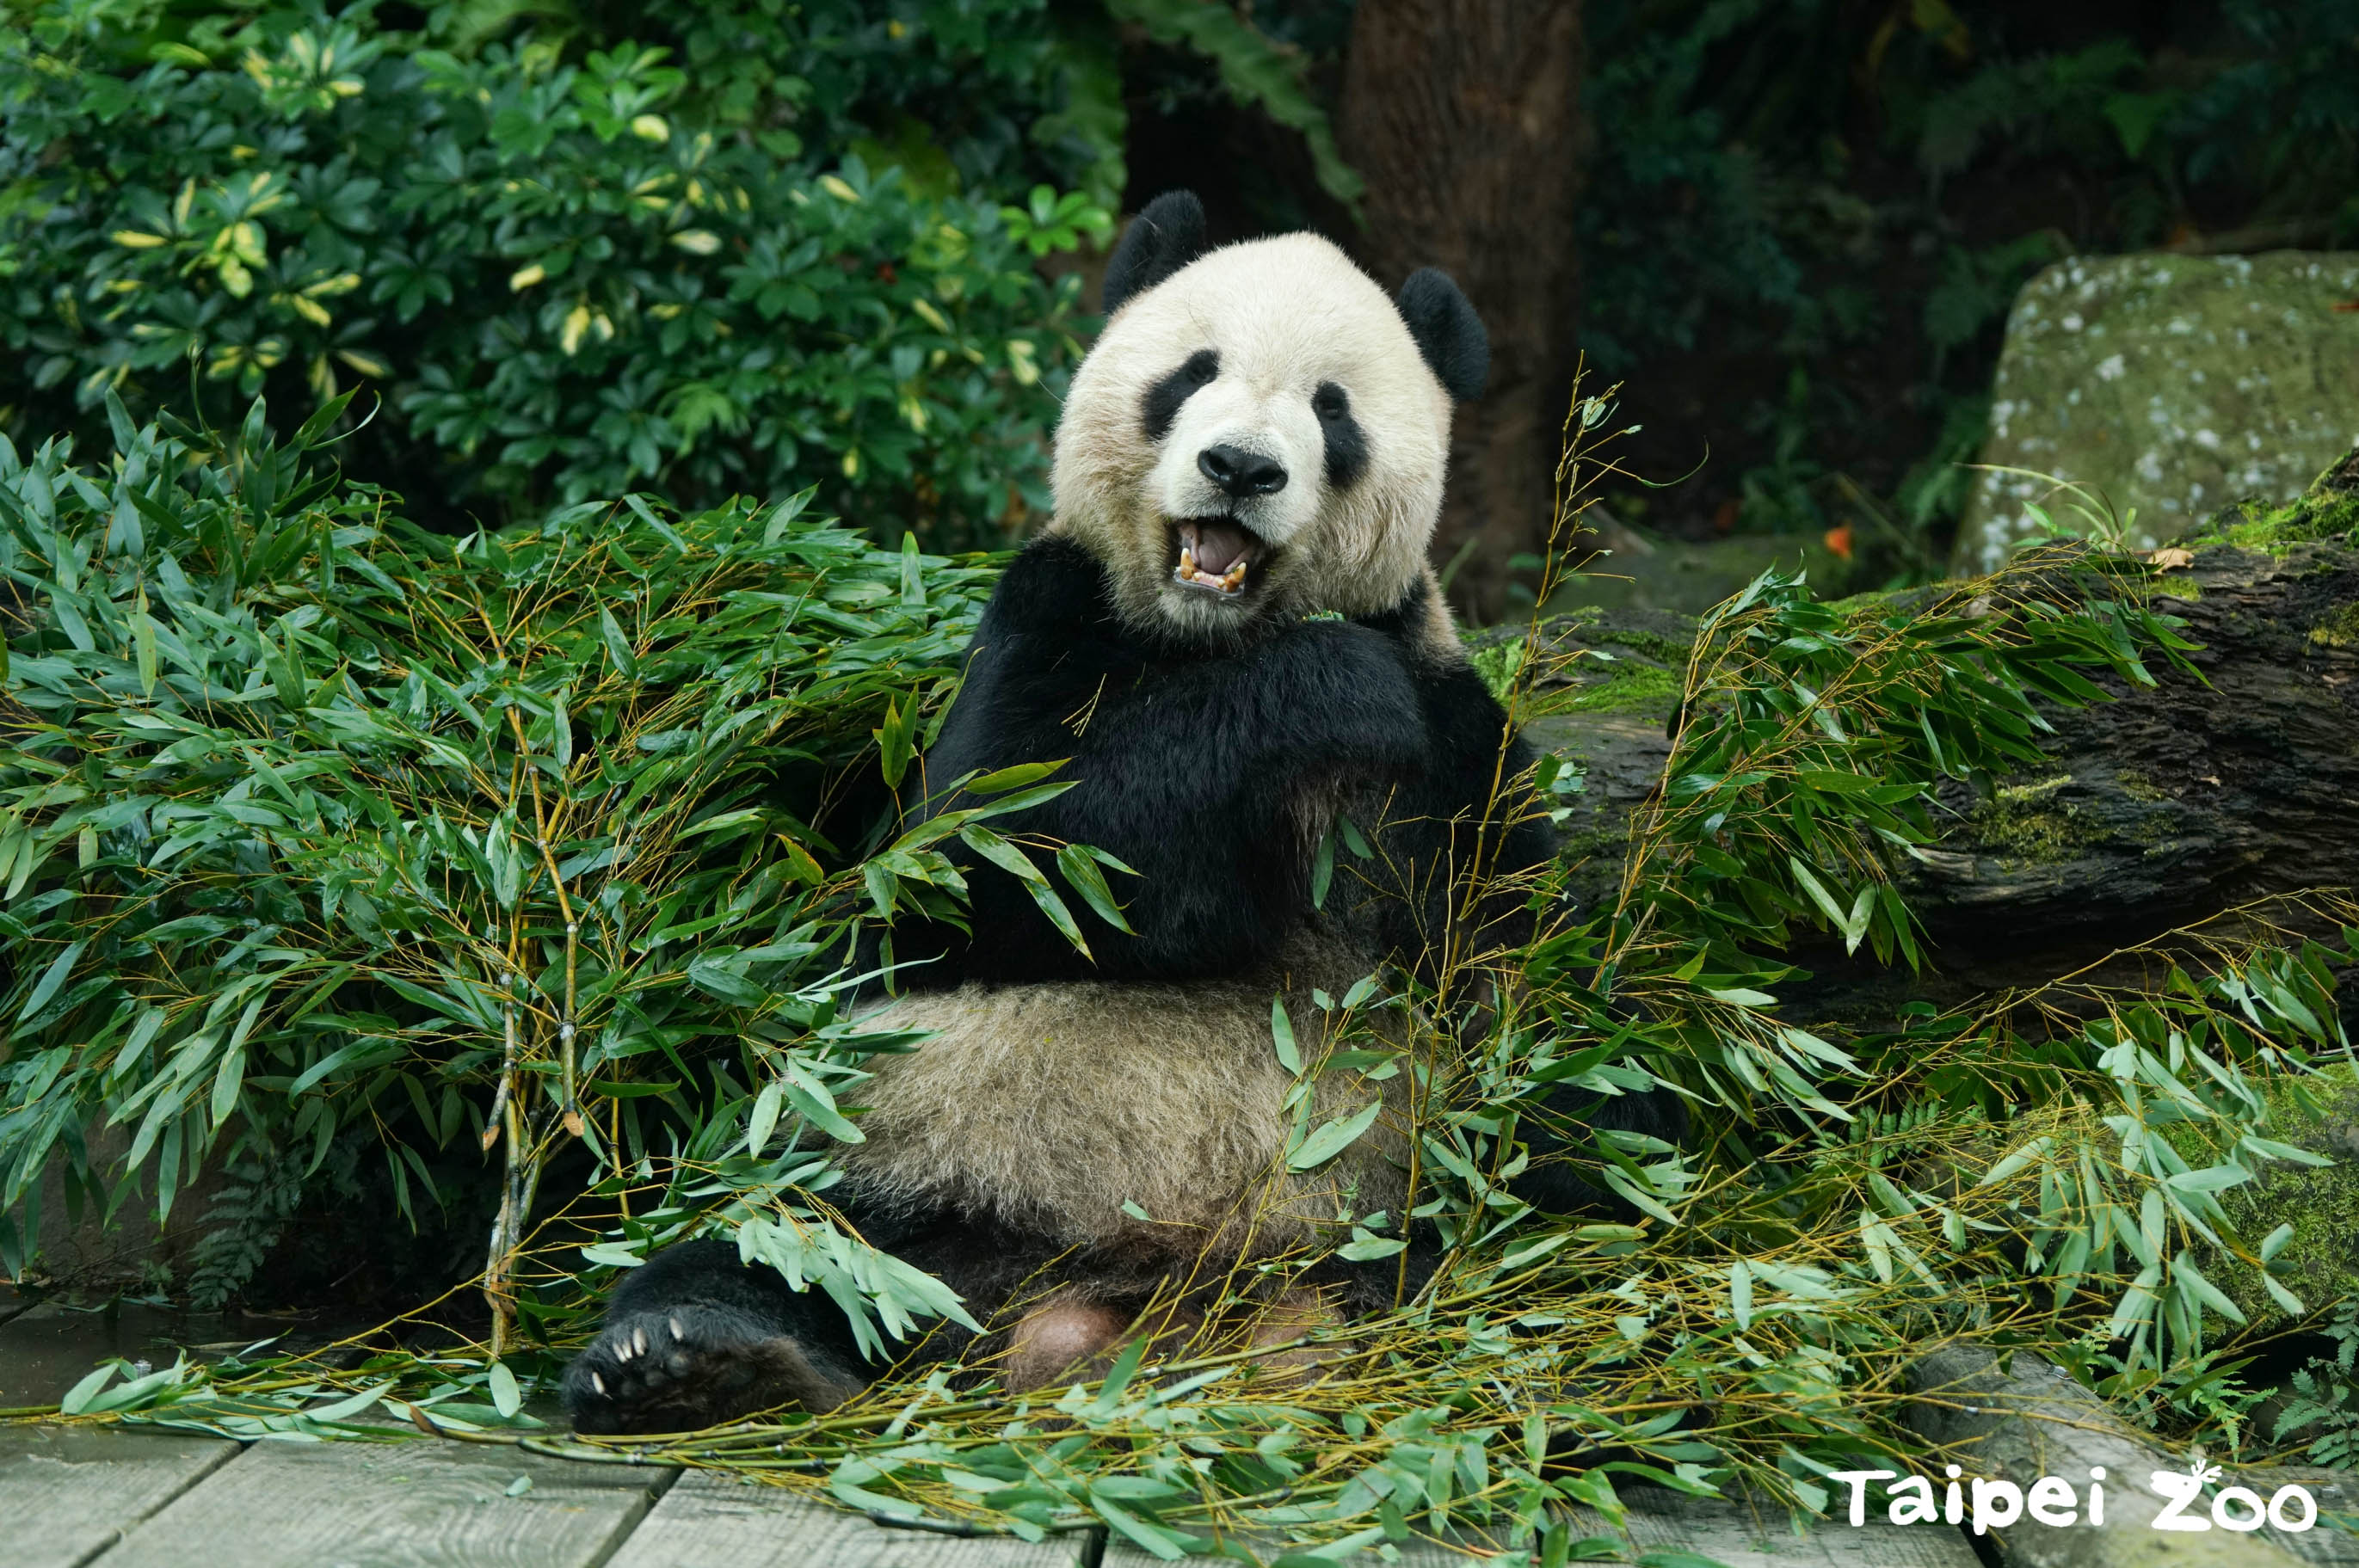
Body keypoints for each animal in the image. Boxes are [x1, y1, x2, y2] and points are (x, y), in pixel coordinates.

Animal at [561, 192, 1651, 1433]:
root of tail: (1137, 1313)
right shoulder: (1043, 624)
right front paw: (1322, 689)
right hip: (899, 1169)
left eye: (1332, 409)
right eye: (1192, 374)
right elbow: (988, 869)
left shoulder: (1448, 718)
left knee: (1570, 1217)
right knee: (779, 1247)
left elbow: (1504, 943)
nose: (1239, 466)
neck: (1210, 639)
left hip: (1406, 1204)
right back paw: (692, 1357)